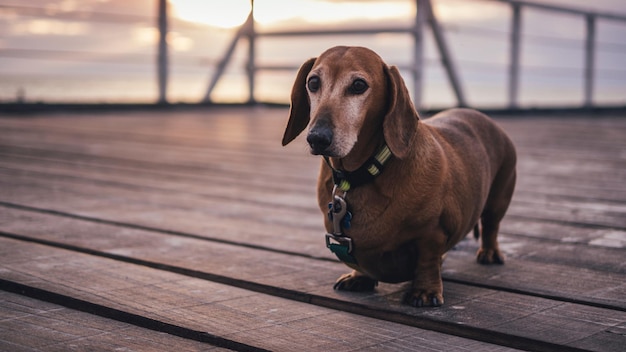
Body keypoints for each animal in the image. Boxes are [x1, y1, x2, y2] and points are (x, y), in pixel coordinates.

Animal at [280, 46, 516, 306]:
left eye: (359, 85)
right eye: (313, 82)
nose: (317, 138)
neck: (359, 175)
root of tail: (483, 117)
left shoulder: (433, 232)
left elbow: (428, 261)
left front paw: (425, 291)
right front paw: (359, 277)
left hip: (499, 197)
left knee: (491, 225)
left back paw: (489, 252)